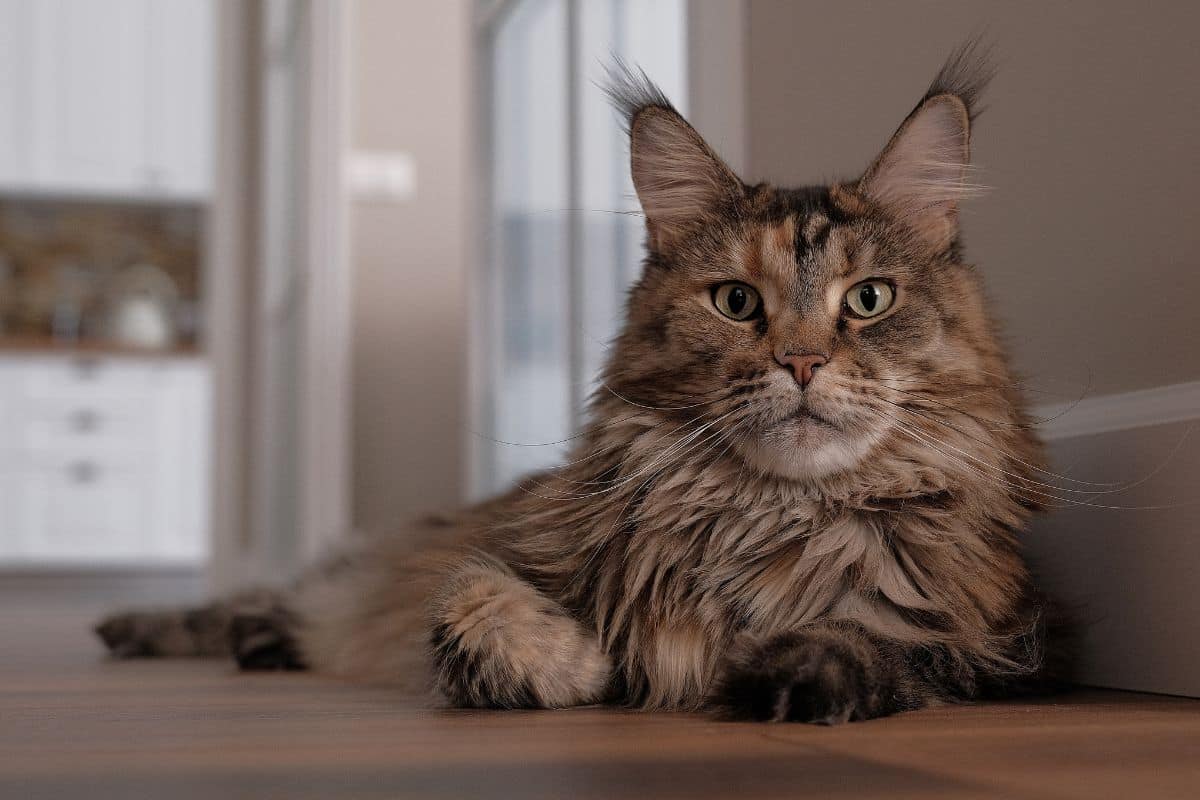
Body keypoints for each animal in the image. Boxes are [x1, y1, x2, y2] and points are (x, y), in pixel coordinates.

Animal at [93, 43, 1070, 724]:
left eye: (868, 300)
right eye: (736, 301)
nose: (800, 362)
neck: (768, 516)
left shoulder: (1006, 639)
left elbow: (881, 641)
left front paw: (785, 670)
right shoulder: (503, 554)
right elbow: (473, 603)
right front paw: (587, 663)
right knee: (266, 598)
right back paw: (150, 629)